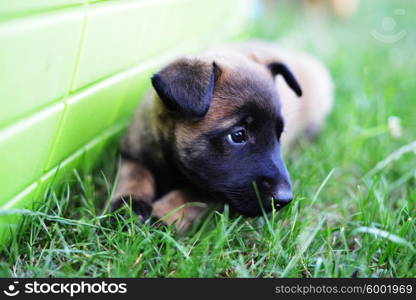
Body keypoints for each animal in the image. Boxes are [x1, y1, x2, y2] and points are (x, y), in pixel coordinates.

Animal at [112, 41, 334, 232]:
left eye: (279, 134)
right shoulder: (131, 153)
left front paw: (162, 217)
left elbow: (188, 196)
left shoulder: (215, 191)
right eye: (238, 135)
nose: (285, 199)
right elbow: (135, 175)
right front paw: (130, 207)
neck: (172, 165)